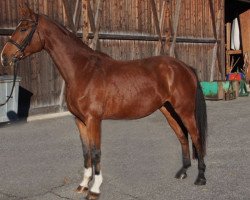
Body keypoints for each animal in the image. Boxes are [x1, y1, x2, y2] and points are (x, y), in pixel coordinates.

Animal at [0, 6, 207, 200]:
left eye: (24, 29)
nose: (4, 57)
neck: (82, 71)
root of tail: (184, 67)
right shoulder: (80, 121)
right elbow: (86, 152)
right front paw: (83, 185)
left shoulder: (94, 120)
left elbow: (96, 152)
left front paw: (95, 189)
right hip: (168, 110)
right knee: (182, 136)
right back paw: (183, 172)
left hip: (185, 110)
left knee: (196, 137)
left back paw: (201, 177)